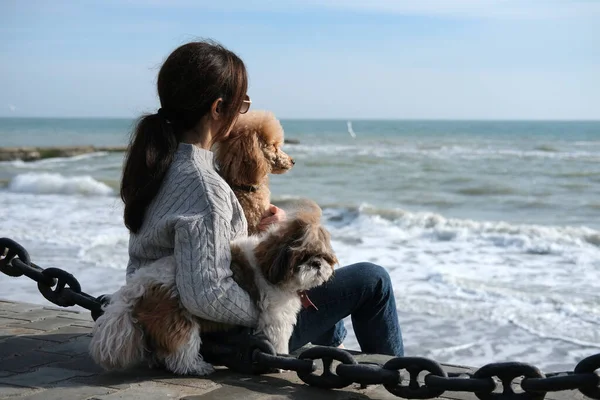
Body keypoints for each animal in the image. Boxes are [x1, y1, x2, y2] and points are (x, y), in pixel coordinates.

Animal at [89, 202, 338, 376]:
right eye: (303, 257)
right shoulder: (275, 316)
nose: (317, 264)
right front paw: (283, 362)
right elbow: (278, 339)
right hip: (177, 318)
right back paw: (195, 367)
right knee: (181, 348)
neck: (268, 264)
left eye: (323, 256)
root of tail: (138, 286)